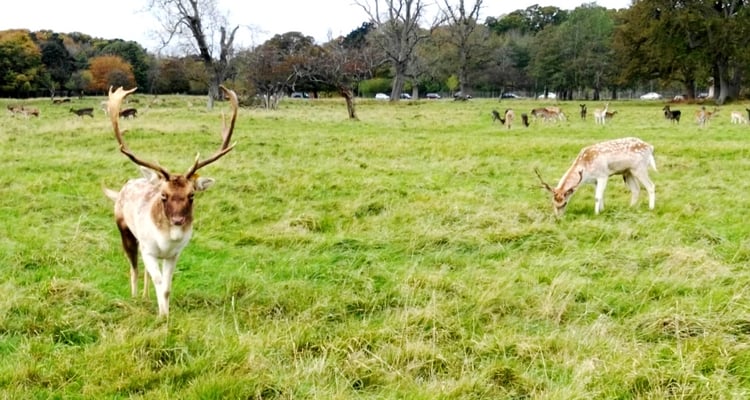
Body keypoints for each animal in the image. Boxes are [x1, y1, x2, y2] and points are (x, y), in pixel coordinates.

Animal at [103, 85, 238, 318]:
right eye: (163, 195)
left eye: (191, 195)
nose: (177, 220)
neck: (167, 240)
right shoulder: (149, 248)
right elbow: (158, 281)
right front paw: (162, 316)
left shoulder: (174, 254)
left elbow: (166, 286)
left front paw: (165, 311)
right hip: (125, 230)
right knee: (134, 267)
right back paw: (135, 296)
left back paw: (146, 296)